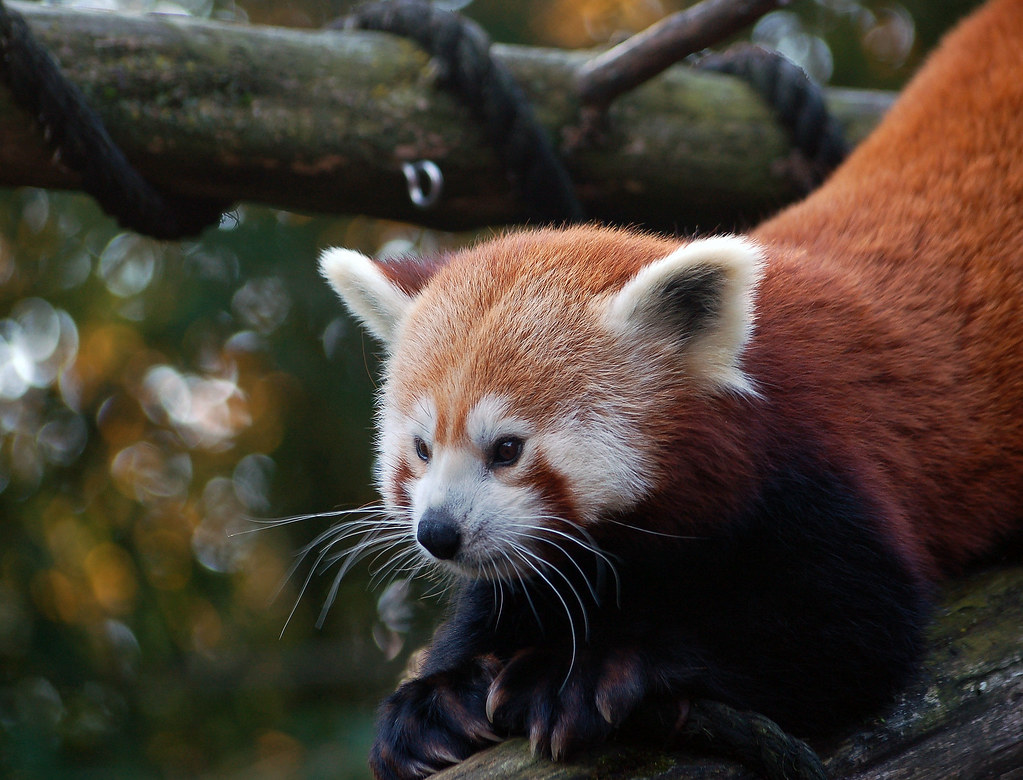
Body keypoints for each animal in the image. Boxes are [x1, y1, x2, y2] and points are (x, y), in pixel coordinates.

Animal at [319, 3, 1023, 773]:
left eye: (506, 449)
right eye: (419, 449)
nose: (437, 533)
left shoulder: (826, 460)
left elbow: (850, 629)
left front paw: (587, 669)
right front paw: (437, 694)